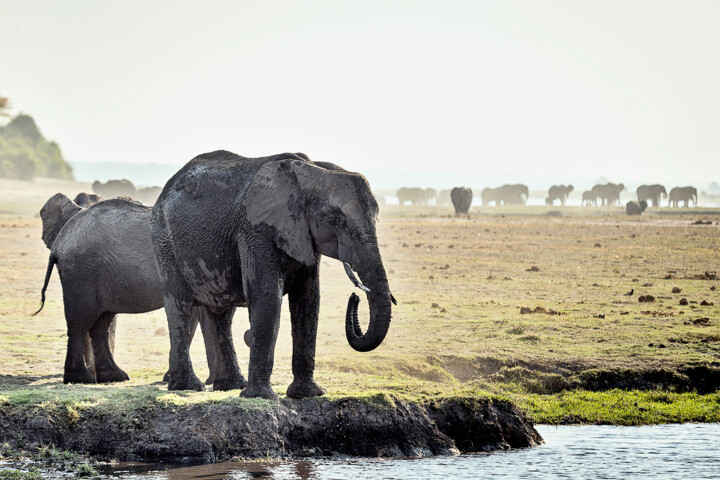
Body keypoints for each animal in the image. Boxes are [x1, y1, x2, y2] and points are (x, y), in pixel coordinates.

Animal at [35, 193, 217, 384]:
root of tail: (60, 240)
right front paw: (211, 382)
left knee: (101, 323)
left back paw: (113, 376)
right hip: (81, 272)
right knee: (80, 322)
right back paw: (81, 379)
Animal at [150, 152, 394, 400]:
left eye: (376, 218)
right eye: (333, 219)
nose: (355, 296)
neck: (311, 170)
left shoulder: (303, 236)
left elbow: (308, 300)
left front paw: (307, 394)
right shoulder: (255, 230)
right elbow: (267, 297)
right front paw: (260, 397)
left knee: (221, 313)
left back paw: (230, 385)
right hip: (164, 240)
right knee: (179, 306)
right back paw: (187, 386)